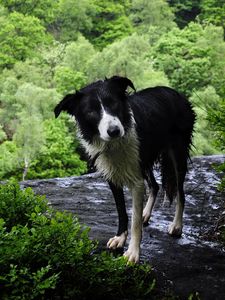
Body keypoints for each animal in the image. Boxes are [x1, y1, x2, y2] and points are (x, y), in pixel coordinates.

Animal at [54, 75, 195, 262]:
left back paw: (177, 225)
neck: (114, 144)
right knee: (155, 185)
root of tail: (175, 92)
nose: (113, 130)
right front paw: (120, 238)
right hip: (144, 159)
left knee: (181, 193)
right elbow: (122, 210)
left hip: (177, 154)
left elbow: (134, 219)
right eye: (91, 112)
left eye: (114, 103)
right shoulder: (112, 176)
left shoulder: (136, 181)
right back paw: (146, 214)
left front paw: (133, 252)